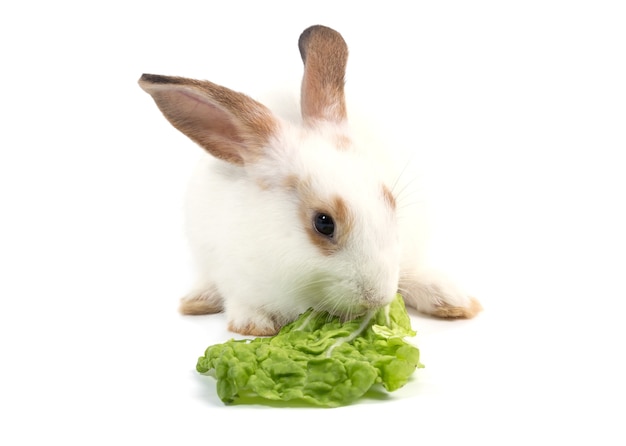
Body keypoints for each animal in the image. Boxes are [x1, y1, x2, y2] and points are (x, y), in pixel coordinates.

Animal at [139, 24, 480, 336]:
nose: (376, 298)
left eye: (391, 204)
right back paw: (197, 300)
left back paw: (452, 300)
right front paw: (254, 325)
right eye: (323, 223)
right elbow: (241, 302)